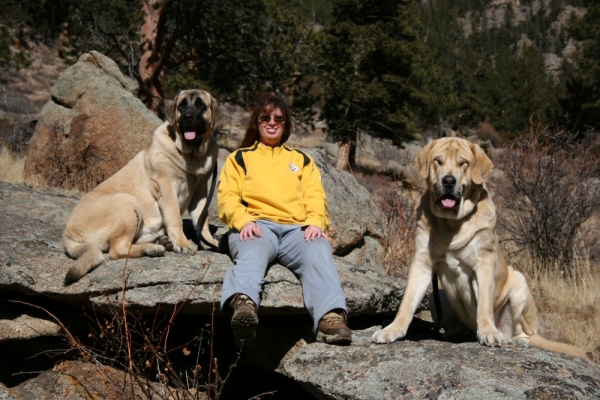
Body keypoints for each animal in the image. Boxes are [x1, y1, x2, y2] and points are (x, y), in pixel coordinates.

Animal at [62, 90, 220, 284]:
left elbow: (201, 220)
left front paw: (209, 241)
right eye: (182, 105)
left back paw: (160, 242)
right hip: (128, 203)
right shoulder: (166, 187)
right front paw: (183, 244)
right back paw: (152, 248)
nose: (188, 116)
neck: (192, 156)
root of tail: (68, 234)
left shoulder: (200, 192)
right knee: (118, 249)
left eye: (200, 105)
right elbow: (175, 218)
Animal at [372, 137, 588, 360]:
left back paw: (513, 338)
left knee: (525, 333)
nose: (448, 181)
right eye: (438, 161)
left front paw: (488, 332)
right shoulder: (422, 263)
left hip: (519, 283)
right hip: (435, 296)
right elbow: (407, 302)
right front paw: (392, 329)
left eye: (463, 163)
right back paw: (457, 331)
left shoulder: (484, 264)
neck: (451, 224)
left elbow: (484, 304)